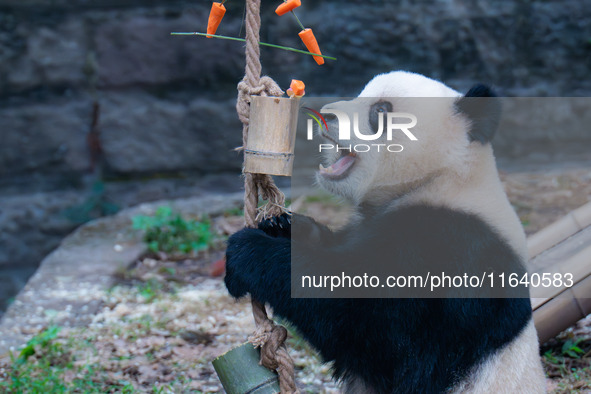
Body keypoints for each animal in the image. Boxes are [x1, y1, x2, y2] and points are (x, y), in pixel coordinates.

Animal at [224, 71, 548, 394]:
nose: (326, 115)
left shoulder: (453, 249)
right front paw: (279, 226)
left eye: (380, 110)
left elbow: (375, 328)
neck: (441, 178)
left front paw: (246, 252)